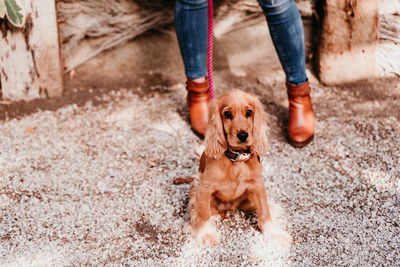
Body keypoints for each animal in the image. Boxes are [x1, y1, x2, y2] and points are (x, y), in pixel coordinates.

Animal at [186, 89, 292, 247]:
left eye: (249, 112)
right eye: (227, 114)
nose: (243, 135)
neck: (238, 160)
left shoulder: (257, 184)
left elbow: (264, 210)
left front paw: (274, 233)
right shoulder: (204, 186)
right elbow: (203, 213)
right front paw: (206, 233)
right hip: (195, 186)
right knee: (196, 210)